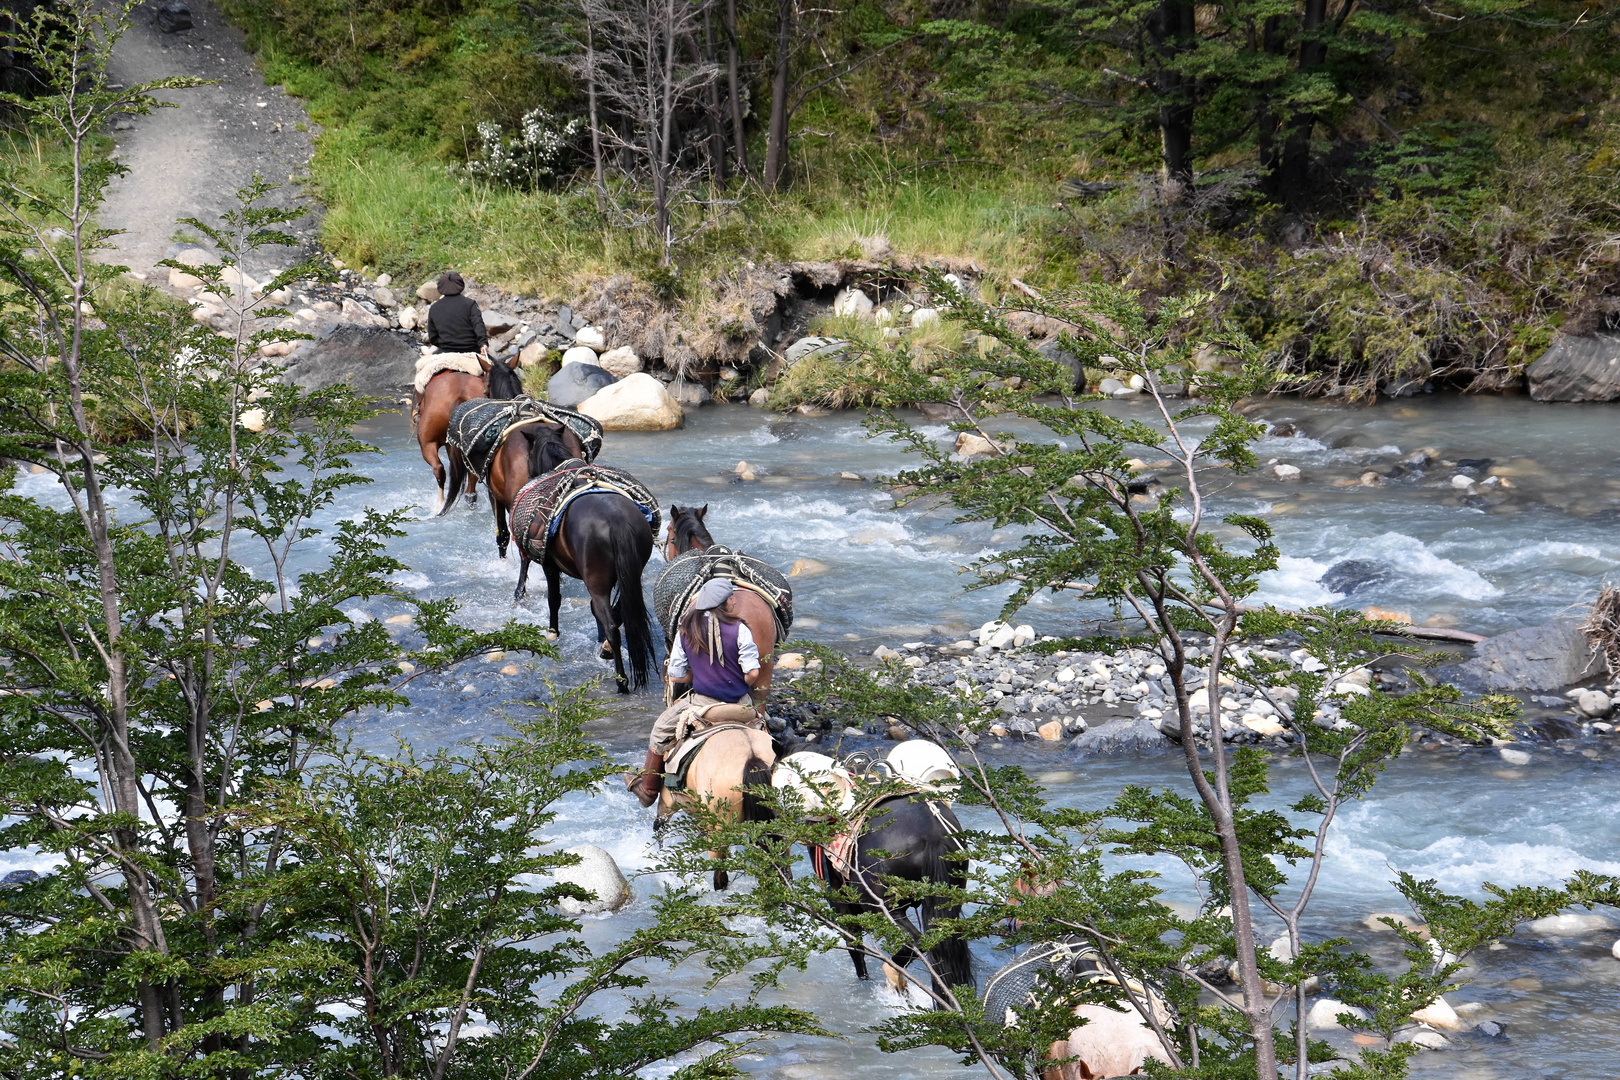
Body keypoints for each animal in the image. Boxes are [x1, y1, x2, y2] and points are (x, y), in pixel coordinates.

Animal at [508, 427, 654, 693]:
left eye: (528, 455)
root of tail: (616, 520)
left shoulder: (549, 565)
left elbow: (554, 599)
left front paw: (553, 632)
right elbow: (595, 611)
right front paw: (599, 641)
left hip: (596, 581)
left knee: (612, 625)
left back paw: (621, 681)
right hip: (631, 575)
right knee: (619, 613)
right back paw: (608, 652)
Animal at [816, 799, 965, 1010]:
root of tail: (933, 834)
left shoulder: (840, 897)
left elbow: (854, 943)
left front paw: (863, 978)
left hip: (882, 907)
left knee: (914, 939)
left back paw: (895, 977)